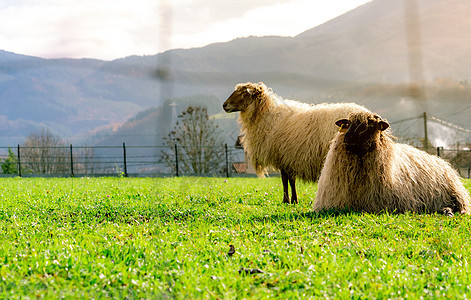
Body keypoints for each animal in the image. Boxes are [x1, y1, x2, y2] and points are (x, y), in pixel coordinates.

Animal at [223, 82, 370, 204]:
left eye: (243, 93)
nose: (224, 105)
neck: (267, 116)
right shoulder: (289, 157)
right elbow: (291, 180)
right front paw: (294, 200)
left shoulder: (282, 155)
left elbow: (285, 179)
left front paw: (286, 200)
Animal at [314, 110, 471, 216]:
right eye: (348, 124)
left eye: (372, 124)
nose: (348, 137)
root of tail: (441, 161)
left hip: (454, 193)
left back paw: (449, 211)